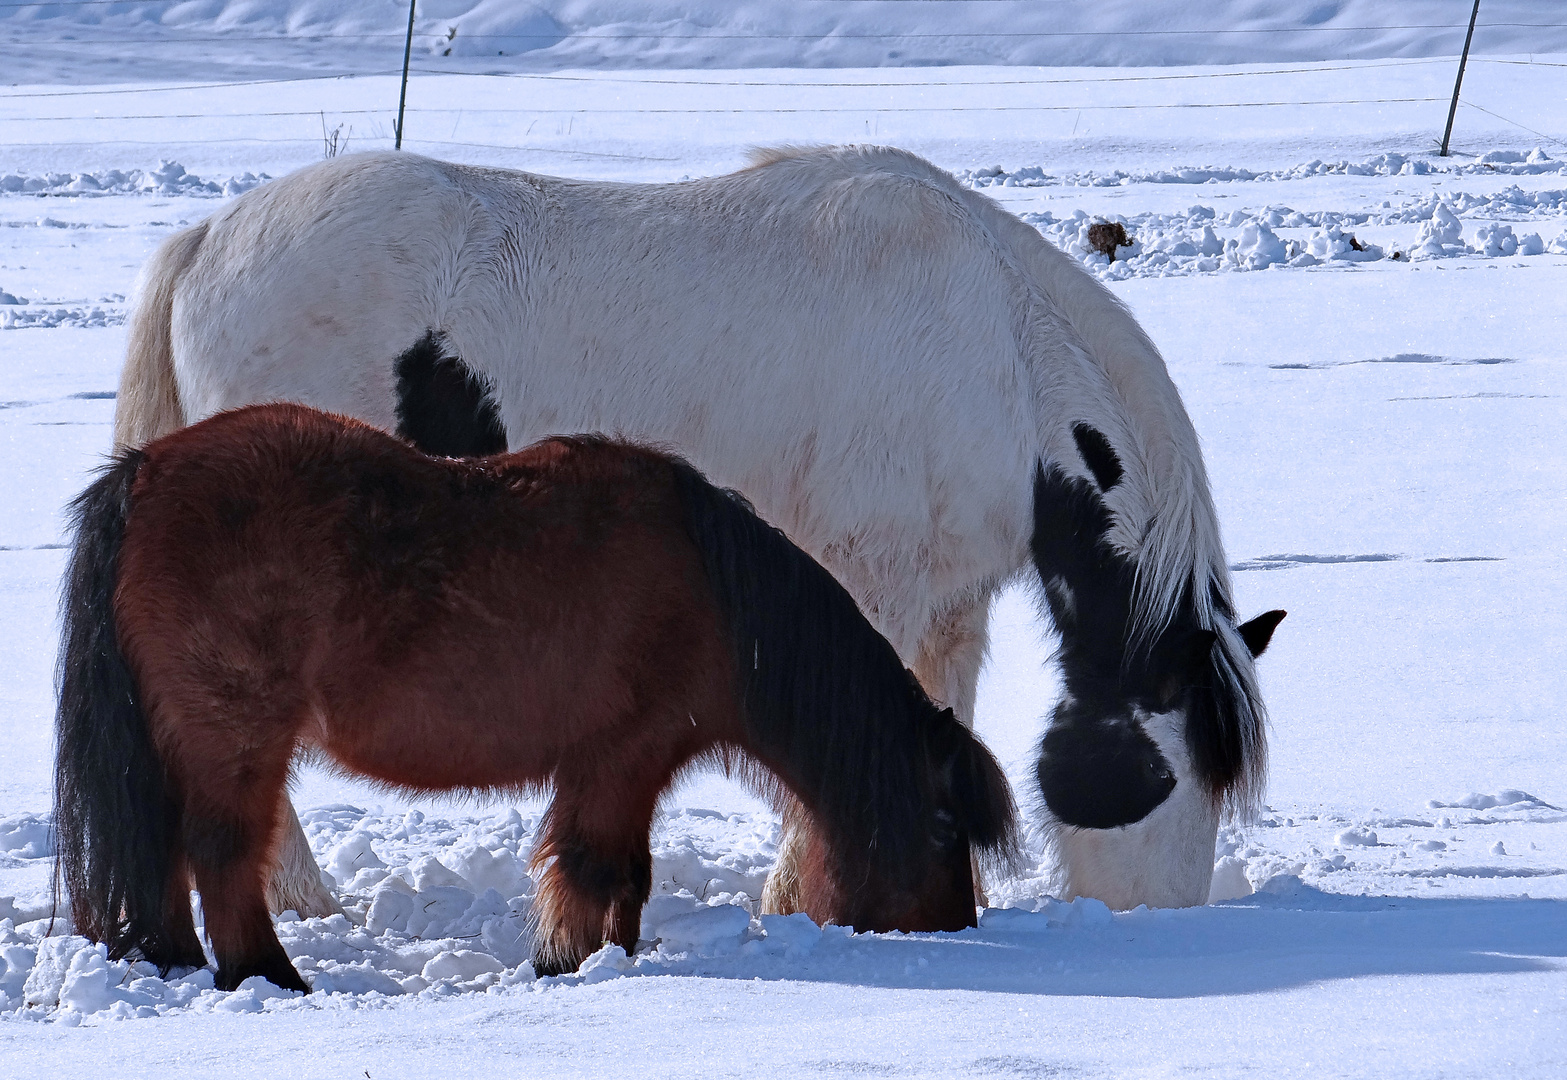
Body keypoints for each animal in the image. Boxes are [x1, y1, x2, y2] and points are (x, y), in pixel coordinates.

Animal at [52, 404, 1015, 996]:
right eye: (942, 827)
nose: (949, 930)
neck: (716, 595)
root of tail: (144, 472)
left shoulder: (625, 768)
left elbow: (624, 874)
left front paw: (602, 960)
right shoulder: (622, 757)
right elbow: (595, 867)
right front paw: (568, 965)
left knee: (168, 855)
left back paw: (180, 963)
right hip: (235, 738)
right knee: (221, 855)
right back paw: (270, 979)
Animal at [113, 143, 1284, 915]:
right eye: (1162, 775)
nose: (1162, 923)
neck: (998, 352)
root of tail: (207, 240)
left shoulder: (948, 610)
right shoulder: (875, 586)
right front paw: (813, 900)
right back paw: (299, 900)